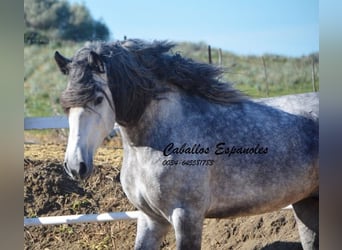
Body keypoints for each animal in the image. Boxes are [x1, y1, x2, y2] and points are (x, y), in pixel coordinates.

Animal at [54, 40, 320, 249]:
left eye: (98, 99)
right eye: (65, 104)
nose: (76, 166)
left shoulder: (186, 217)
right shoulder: (151, 219)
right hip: (306, 203)